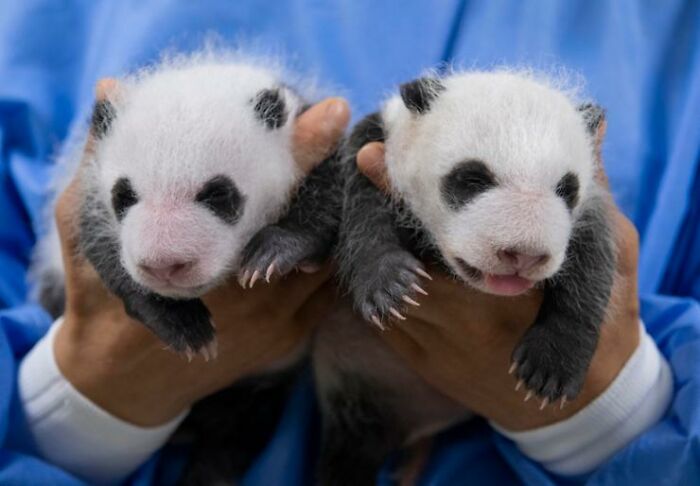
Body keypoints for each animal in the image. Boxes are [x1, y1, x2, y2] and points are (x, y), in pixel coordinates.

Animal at [29, 54, 343, 485]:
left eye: (218, 193)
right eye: (124, 195)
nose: (165, 265)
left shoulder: (310, 131)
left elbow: (334, 187)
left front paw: (276, 251)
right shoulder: (91, 189)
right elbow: (103, 248)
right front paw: (184, 326)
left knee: (240, 428)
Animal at [314, 70, 616, 485]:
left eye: (566, 188)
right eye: (472, 178)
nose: (524, 254)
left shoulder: (591, 205)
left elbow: (593, 260)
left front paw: (552, 367)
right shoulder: (374, 144)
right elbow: (359, 201)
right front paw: (387, 283)